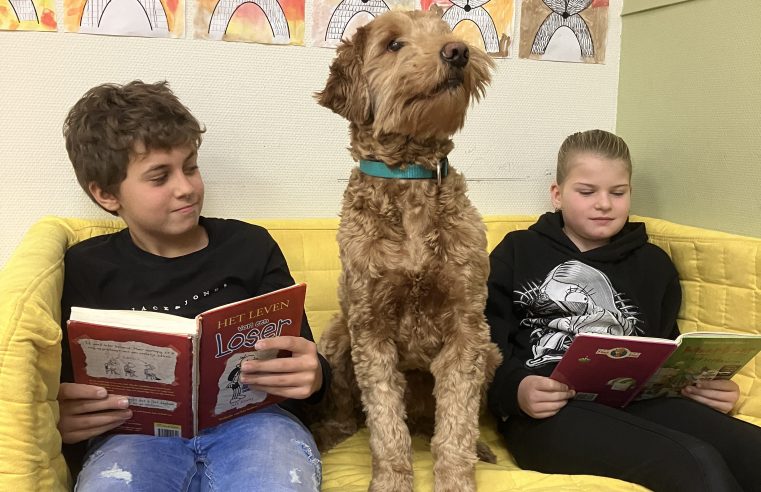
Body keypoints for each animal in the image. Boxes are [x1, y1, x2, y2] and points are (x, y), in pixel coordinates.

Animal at [312, 10, 502, 492]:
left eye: (446, 30)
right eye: (393, 44)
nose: (458, 51)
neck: (411, 175)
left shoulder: (467, 327)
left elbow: (456, 425)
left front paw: (456, 478)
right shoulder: (370, 327)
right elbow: (384, 425)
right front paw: (392, 479)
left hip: (491, 350)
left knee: (447, 423)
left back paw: (480, 447)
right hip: (337, 339)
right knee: (349, 416)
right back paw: (326, 434)